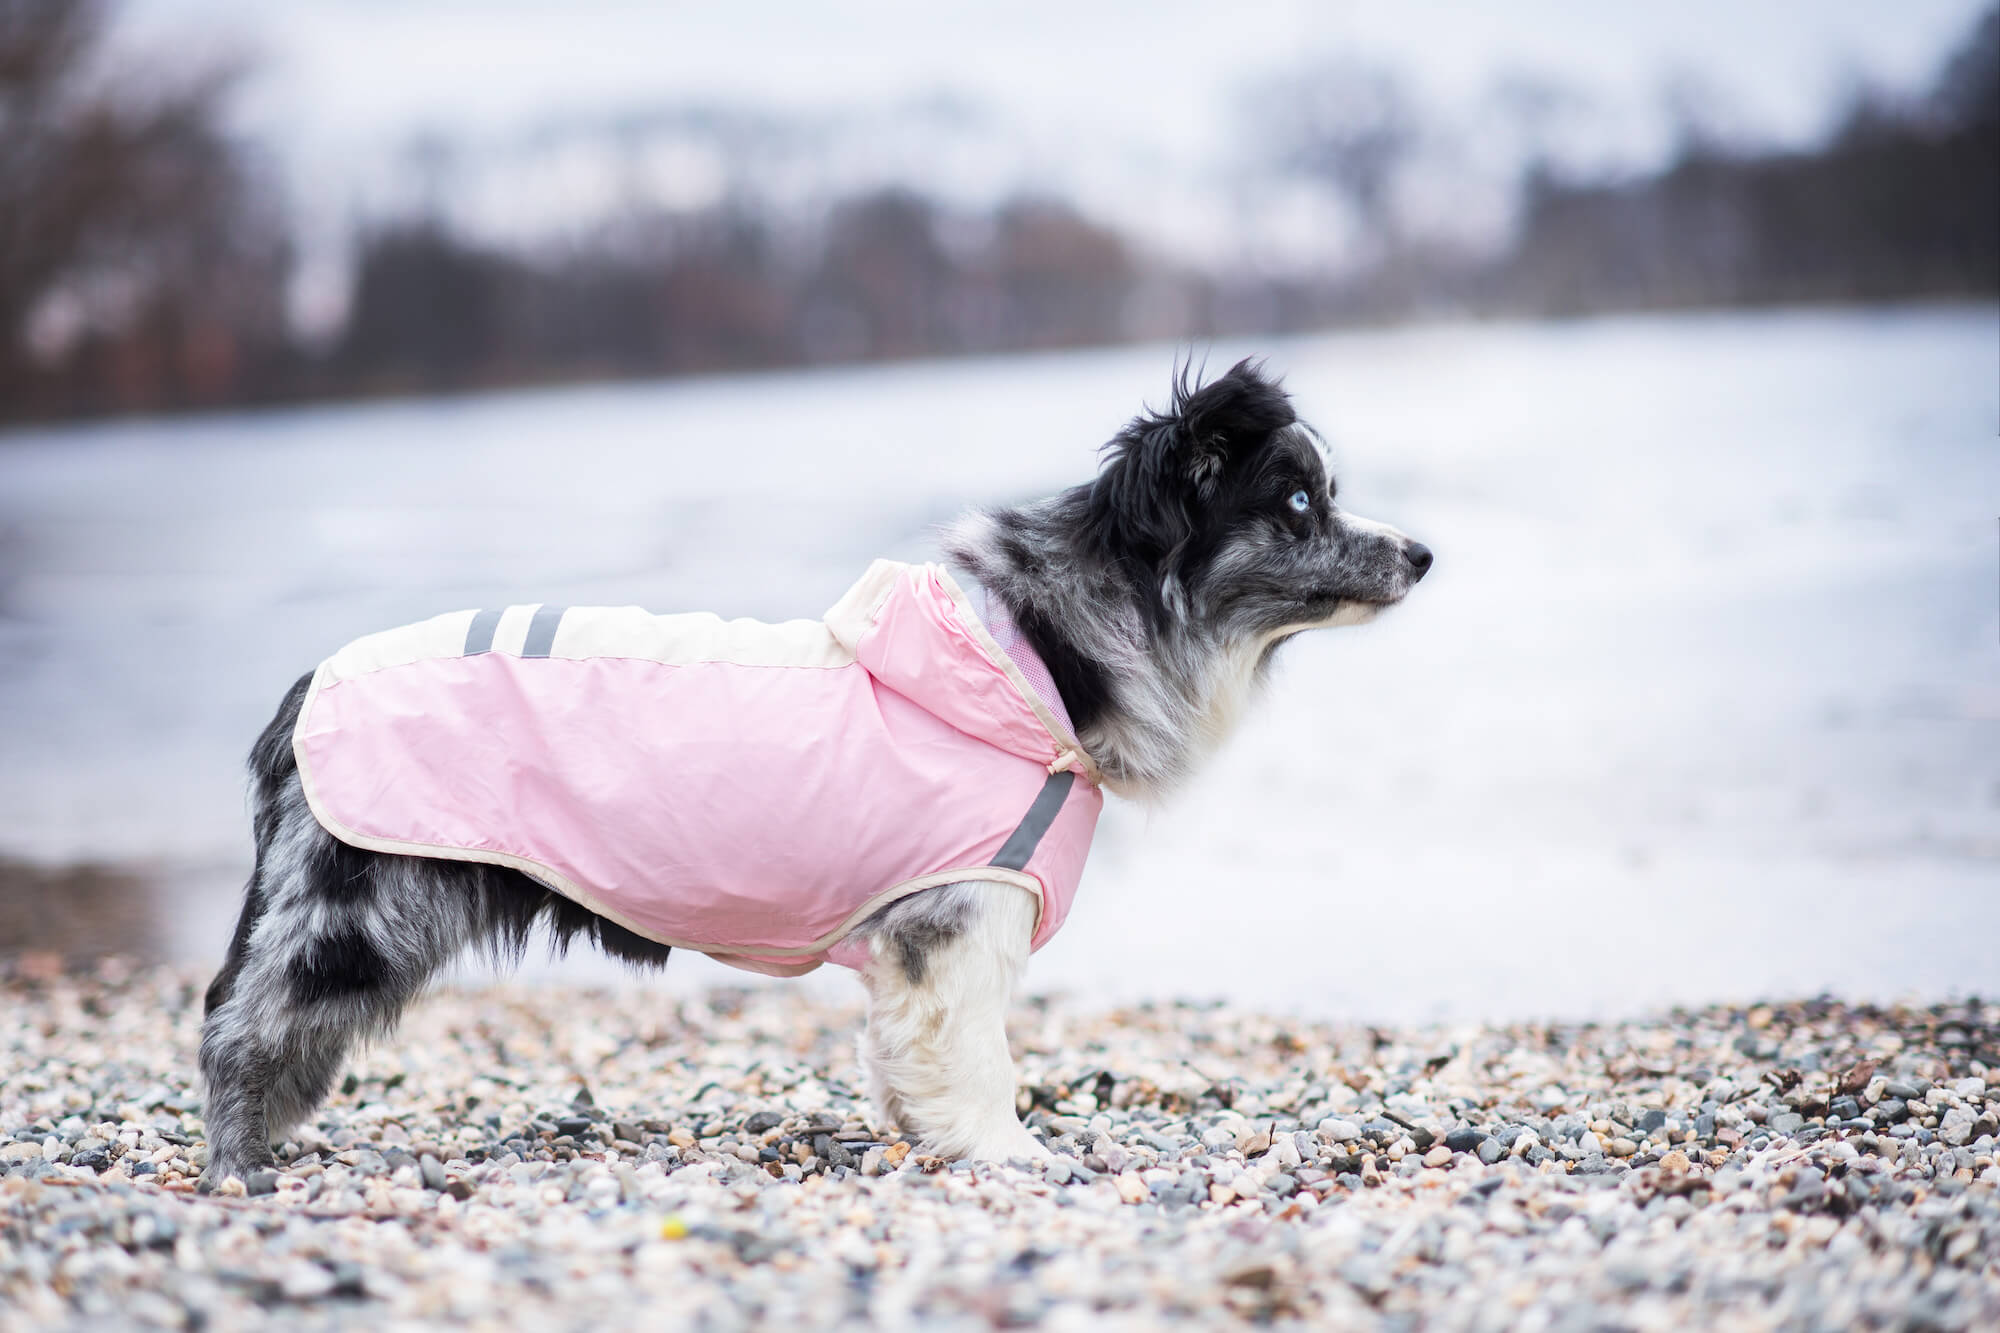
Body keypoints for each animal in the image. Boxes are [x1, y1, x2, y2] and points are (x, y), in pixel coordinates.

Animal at [199, 358, 1424, 1176]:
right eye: (1299, 502)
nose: (1421, 552)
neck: (1046, 654)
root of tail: (303, 692)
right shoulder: (961, 917)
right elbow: (975, 1054)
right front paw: (1002, 1149)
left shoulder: (916, 944)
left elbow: (905, 1051)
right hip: (349, 912)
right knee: (238, 1022)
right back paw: (236, 1160)